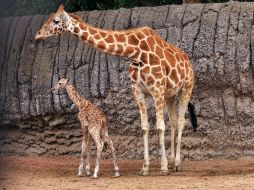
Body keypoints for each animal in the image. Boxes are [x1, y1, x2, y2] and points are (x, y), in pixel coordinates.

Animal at [35, 4, 197, 175]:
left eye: (56, 20)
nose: (38, 35)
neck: (136, 51)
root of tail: (187, 60)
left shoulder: (157, 89)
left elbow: (160, 126)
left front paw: (163, 167)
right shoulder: (138, 91)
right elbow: (145, 127)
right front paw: (145, 167)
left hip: (186, 87)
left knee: (180, 121)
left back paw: (177, 163)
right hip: (169, 95)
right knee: (173, 121)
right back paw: (173, 162)